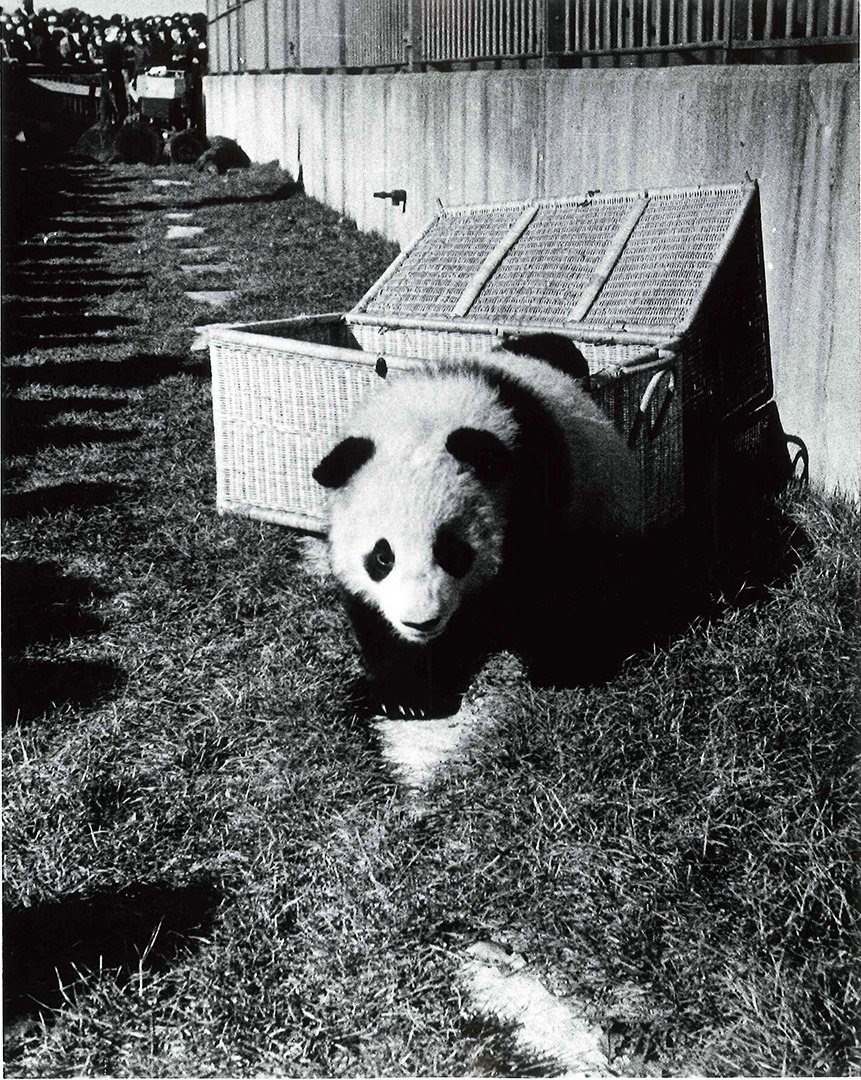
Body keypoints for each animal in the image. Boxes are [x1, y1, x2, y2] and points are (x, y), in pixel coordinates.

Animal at [312, 334, 640, 716]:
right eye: (382, 557)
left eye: (451, 551)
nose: (421, 622)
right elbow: (375, 617)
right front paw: (408, 694)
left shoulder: (533, 488)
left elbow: (535, 584)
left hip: (602, 507)